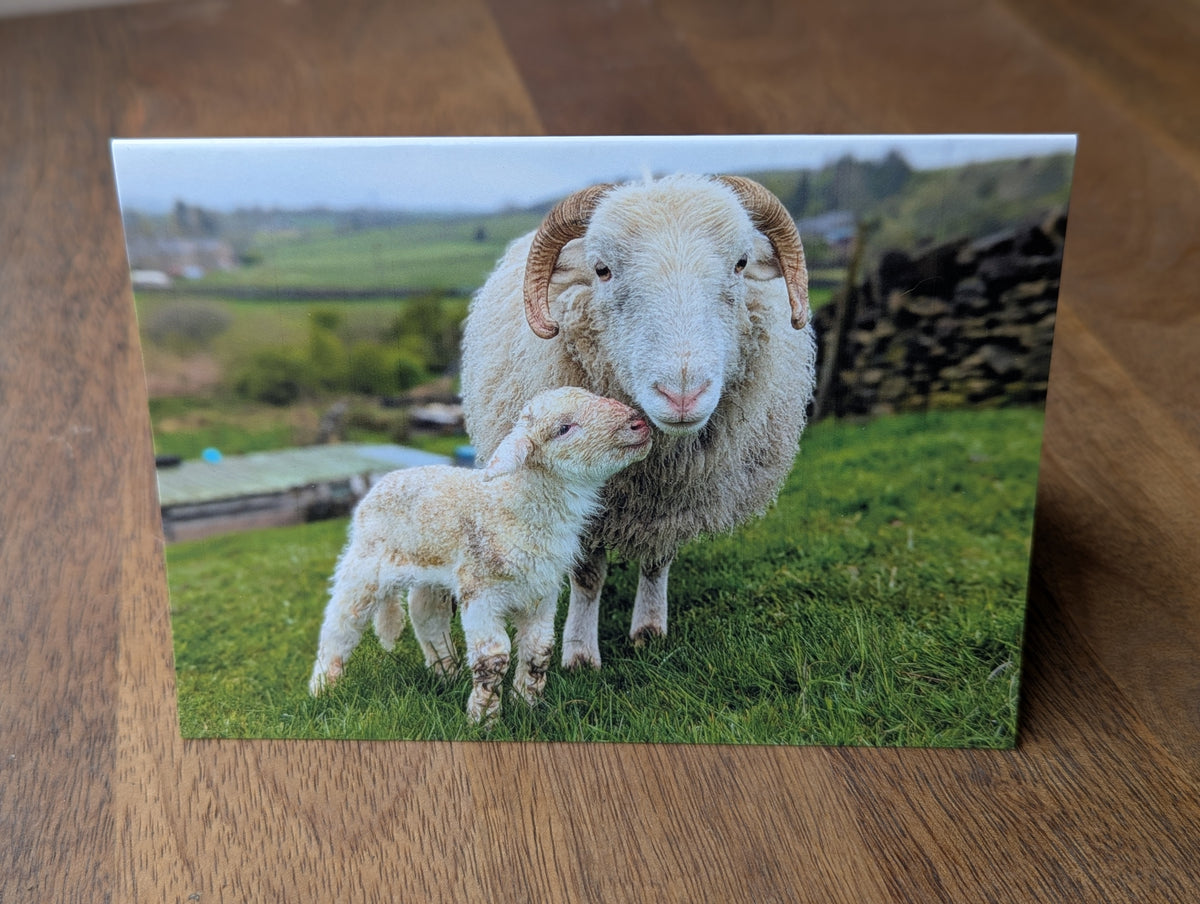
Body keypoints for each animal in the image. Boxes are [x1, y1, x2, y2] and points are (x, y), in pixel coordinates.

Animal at [308, 386, 652, 723]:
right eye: (564, 428)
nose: (639, 424)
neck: (516, 505)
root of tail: (382, 482)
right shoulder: (481, 591)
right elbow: (494, 656)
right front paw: (483, 719)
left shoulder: (541, 592)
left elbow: (539, 650)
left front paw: (527, 705)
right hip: (366, 563)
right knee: (341, 622)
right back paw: (323, 685)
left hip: (432, 569)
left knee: (425, 614)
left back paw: (446, 671)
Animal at [460, 173, 817, 670]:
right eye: (602, 270)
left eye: (741, 264)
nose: (682, 394)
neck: (653, 466)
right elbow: (588, 575)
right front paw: (579, 654)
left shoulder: (673, 501)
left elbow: (657, 561)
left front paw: (648, 630)